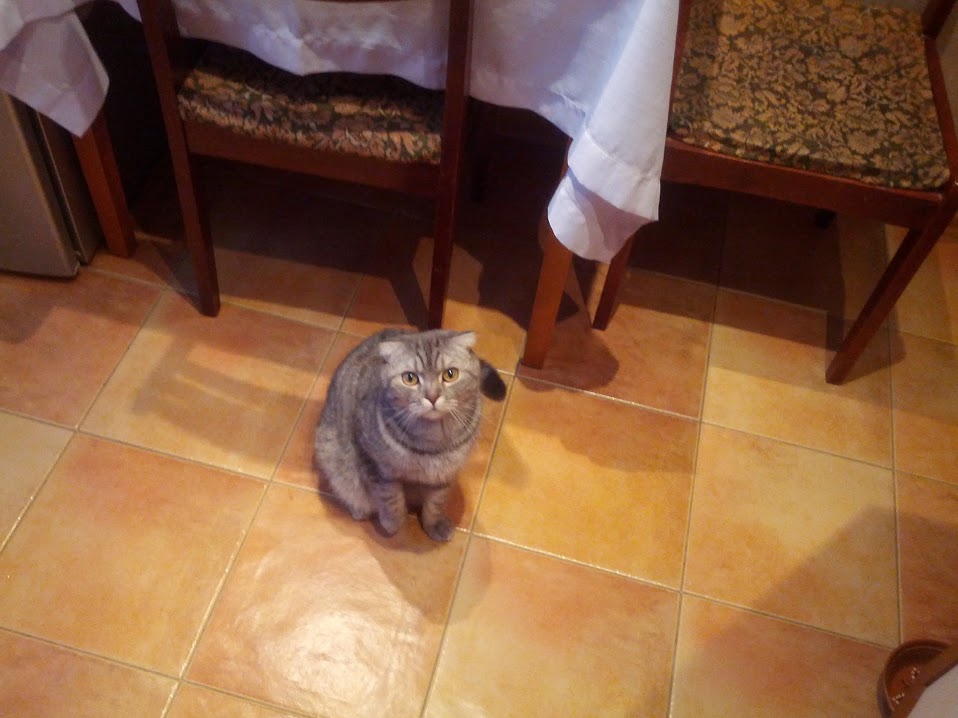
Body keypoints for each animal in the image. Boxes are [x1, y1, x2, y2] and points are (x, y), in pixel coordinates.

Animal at [315, 328, 505, 542]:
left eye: (450, 374)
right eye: (410, 378)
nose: (432, 397)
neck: (433, 440)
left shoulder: (445, 474)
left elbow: (436, 503)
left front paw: (434, 525)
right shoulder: (374, 463)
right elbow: (389, 496)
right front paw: (394, 522)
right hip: (330, 453)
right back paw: (359, 510)